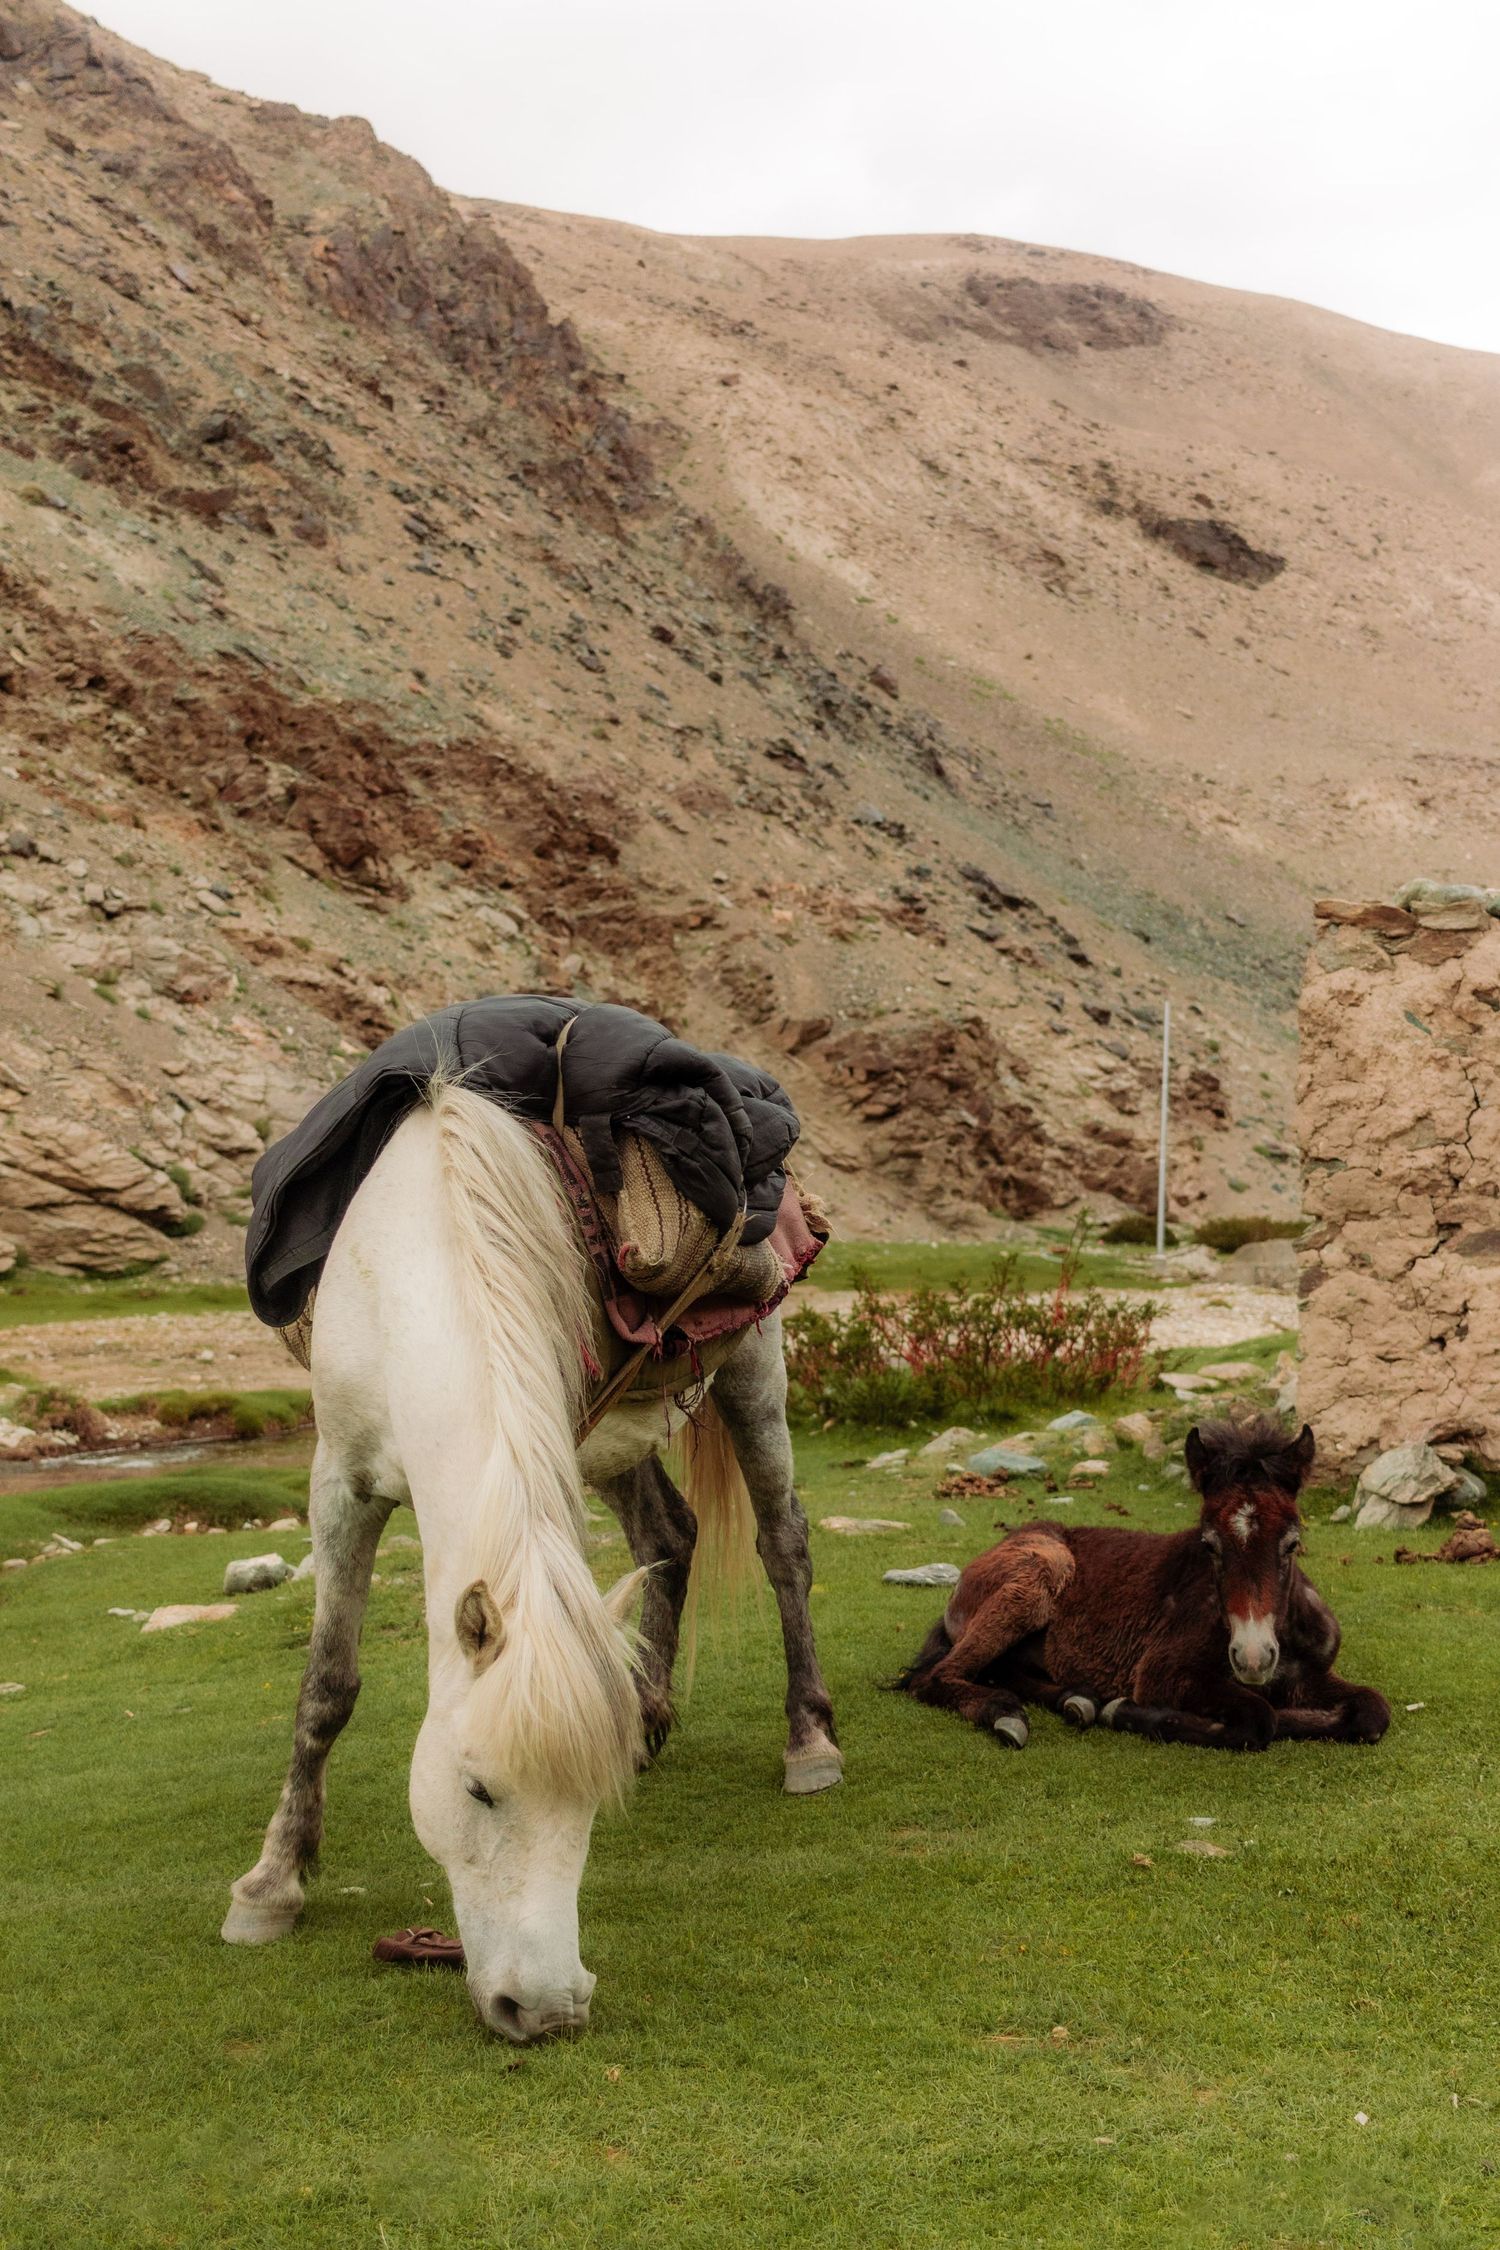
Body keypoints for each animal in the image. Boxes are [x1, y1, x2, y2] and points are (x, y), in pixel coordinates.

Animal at [221, 1080, 842, 2042]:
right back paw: (649, 1711)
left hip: (751, 1373)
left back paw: (808, 1739)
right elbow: (326, 1687)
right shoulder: (340, 1483)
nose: (547, 2008)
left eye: (588, 1807)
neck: (423, 1270)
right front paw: (271, 1884)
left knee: (783, 1544)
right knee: (668, 1534)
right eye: (477, 1791)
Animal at [896, 1416, 1390, 1752]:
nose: (1252, 1658)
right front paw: (1133, 1713)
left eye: (1292, 1543)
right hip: (1041, 1573)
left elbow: (1372, 1711)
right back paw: (1007, 1714)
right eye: (1209, 1544)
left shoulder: (1311, 1674)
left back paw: (1078, 1700)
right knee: (935, 1677)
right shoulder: (1161, 1673)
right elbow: (1259, 1718)